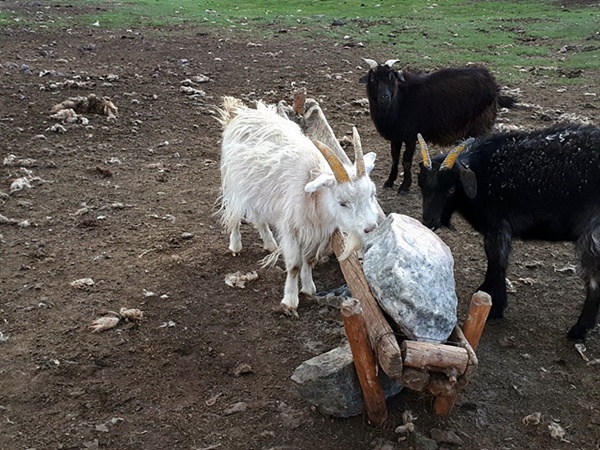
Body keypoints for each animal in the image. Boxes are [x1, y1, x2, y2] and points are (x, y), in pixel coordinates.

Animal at [218, 97, 382, 316]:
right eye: (342, 202)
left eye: (371, 194)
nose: (370, 228)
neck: (313, 195)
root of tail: (239, 113)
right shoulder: (291, 228)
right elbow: (295, 264)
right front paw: (289, 301)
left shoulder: (319, 230)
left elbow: (309, 259)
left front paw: (309, 288)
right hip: (232, 182)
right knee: (234, 215)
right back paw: (235, 245)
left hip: (258, 190)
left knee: (259, 217)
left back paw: (270, 243)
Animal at [360, 59, 516, 192]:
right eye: (373, 79)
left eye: (391, 78)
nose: (384, 97)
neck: (398, 102)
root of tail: (492, 82)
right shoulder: (396, 136)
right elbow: (394, 158)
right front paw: (389, 181)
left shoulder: (411, 136)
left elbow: (406, 160)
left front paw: (404, 186)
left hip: (481, 124)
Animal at [420, 124, 600, 342]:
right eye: (423, 187)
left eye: (451, 189)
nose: (429, 221)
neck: (482, 175)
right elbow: (492, 260)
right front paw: (484, 289)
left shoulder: (499, 228)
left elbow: (498, 262)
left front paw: (496, 309)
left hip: (592, 233)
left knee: (595, 281)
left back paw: (579, 329)